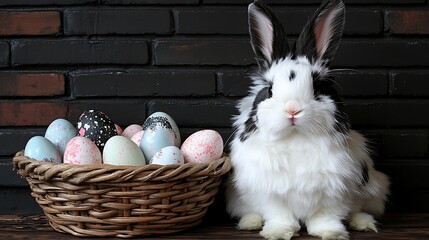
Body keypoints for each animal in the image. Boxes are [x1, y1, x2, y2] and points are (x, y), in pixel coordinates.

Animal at [226, 0, 390, 240]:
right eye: (270, 89)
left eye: (317, 87)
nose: (293, 109)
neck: (296, 138)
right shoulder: (270, 191)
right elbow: (279, 214)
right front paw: (277, 232)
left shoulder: (336, 190)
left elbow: (326, 216)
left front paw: (331, 233)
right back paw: (250, 222)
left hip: (373, 189)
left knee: (357, 210)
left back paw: (363, 223)